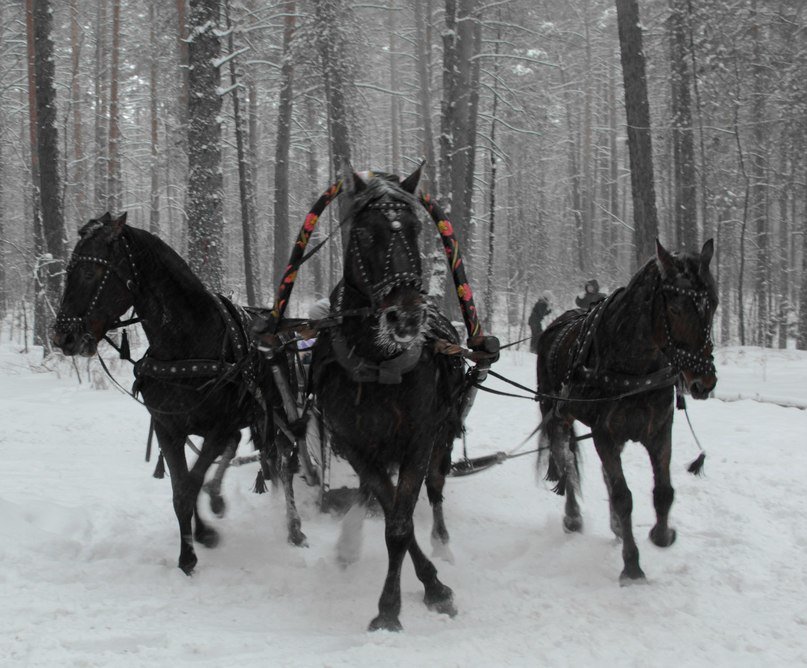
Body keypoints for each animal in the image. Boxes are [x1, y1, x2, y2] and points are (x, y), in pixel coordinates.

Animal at [52, 214, 306, 576]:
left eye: (90, 273)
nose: (63, 336)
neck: (187, 341)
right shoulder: (169, 429)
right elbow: (180, 487)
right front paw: (198, 537)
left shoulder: (218, 427)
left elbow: (190, 484)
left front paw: (190, 554)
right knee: (240, 452)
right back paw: (217, 497)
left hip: (278, 413)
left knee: (284, 462)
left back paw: (294, 527)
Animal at [316, 167, 468, 632]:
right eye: (365, 233)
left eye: (417, 229)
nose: (407, 318)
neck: (378, 365)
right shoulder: (354, 444)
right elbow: (392, 516)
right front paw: (401, 600)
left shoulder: (419, 438)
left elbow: (401, 524)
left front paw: (419, 595)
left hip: (443, 436)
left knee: (435, 490)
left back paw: (443, 544)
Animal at [536, 241, 720, 584]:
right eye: (675, 309)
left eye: (713, 304)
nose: (705, 381)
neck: (636, 366)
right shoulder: (605, 434)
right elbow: (623, 496)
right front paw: (632, 565)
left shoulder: (659, 430)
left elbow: (663, 492)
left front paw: (662, 535)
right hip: (555, 413)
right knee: (565, 458)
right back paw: (573, 517)